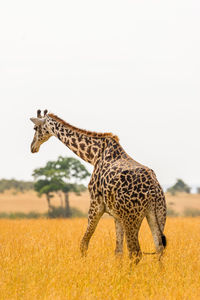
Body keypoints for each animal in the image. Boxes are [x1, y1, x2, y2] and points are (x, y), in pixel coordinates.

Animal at [30, 109, 167, 262]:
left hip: (131, 217)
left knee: (135, 252)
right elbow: (118, 251)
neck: (93, 155)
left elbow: (84, 243)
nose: (32, 147)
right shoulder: (117, 215)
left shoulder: (96, 203)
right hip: (157, 214)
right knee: (159, 248)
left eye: (35, 128)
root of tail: (154, 189)